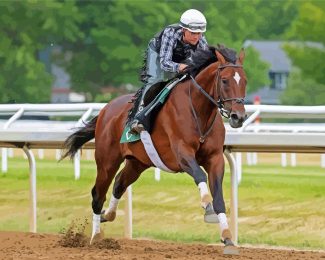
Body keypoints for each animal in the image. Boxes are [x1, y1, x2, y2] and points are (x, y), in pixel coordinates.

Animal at [62, 46, 247, 254]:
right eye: (224, 80)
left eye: (245, 80)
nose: (238, 117)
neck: (199, 112)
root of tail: (105, 109)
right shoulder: (182, 153)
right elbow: (200, 176)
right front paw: (207, 207)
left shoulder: (215, 158)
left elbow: (219, 198)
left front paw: (228, 239)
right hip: (107, 161)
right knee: (97, 194)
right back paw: (96, 238)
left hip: (137, 162)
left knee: (119, 183)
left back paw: (107, 215)